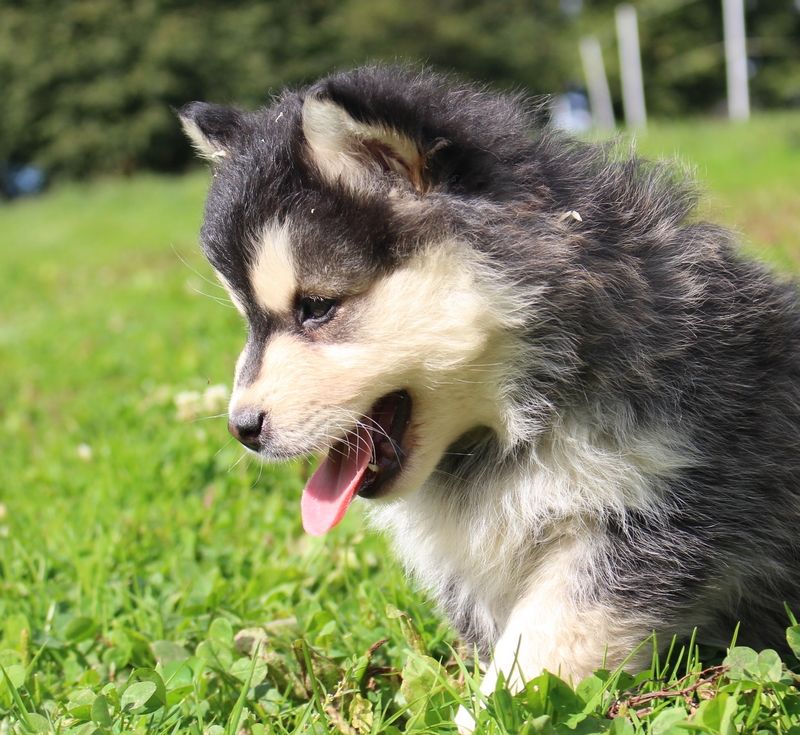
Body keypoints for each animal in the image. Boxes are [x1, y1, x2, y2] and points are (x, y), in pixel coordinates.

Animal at [180, 67, 800, 724]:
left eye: (317, 307)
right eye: (248, 319)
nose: (241, 428)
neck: (521, 416)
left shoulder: (665, 506)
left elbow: (547, 639)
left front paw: (481, 717)